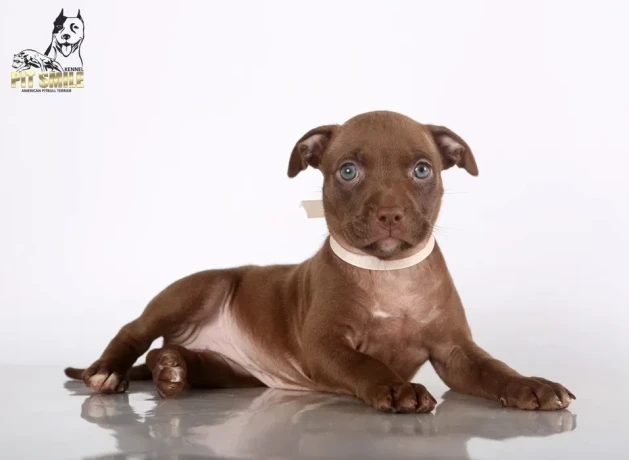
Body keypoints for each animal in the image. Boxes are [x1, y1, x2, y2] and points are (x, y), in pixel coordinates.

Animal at [67, 110, 576, 414]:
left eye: (422, 169)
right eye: (348, 171)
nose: (390, 213)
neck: (389, 274)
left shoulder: (455, 351)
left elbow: (494, 368)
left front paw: (531, 384)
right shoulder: (325, 344)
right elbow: (365, 364)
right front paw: (397, 387)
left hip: (230, 373)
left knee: (171, 356)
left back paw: (171, 371)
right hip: (199, 289)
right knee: (135, 331)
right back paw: (110, 370)